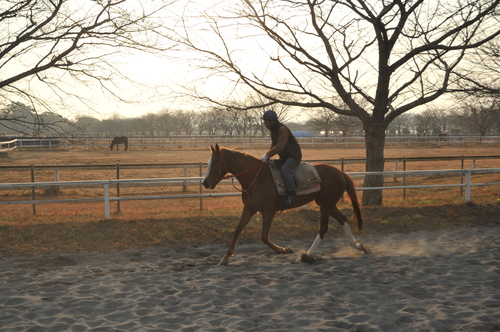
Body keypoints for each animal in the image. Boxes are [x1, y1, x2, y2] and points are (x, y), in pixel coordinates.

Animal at [201, 144, 370, 266]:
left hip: (326, 205)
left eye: (215, 162)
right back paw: (359, 246)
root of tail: (341, 173)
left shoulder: (268, 211)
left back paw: (309, 254)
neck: (257, 178)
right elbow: (238, 231)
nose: (205, 182)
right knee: (343, 220)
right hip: (328, 204)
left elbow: (264, 237)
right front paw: (225, 257)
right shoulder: (249, 209)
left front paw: (284, 250)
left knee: (323, 227)